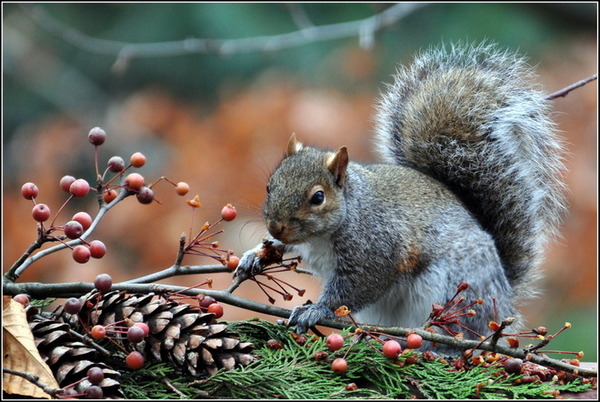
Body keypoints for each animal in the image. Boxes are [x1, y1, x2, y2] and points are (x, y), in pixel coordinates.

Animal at [233, 41, 568, 348]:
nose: (276, 226)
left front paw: (316, 310)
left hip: (458, 294)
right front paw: (255, 254)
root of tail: (504, 298)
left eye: (318, 197)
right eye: (269, 186)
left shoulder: (375, 248)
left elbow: (356, 287)